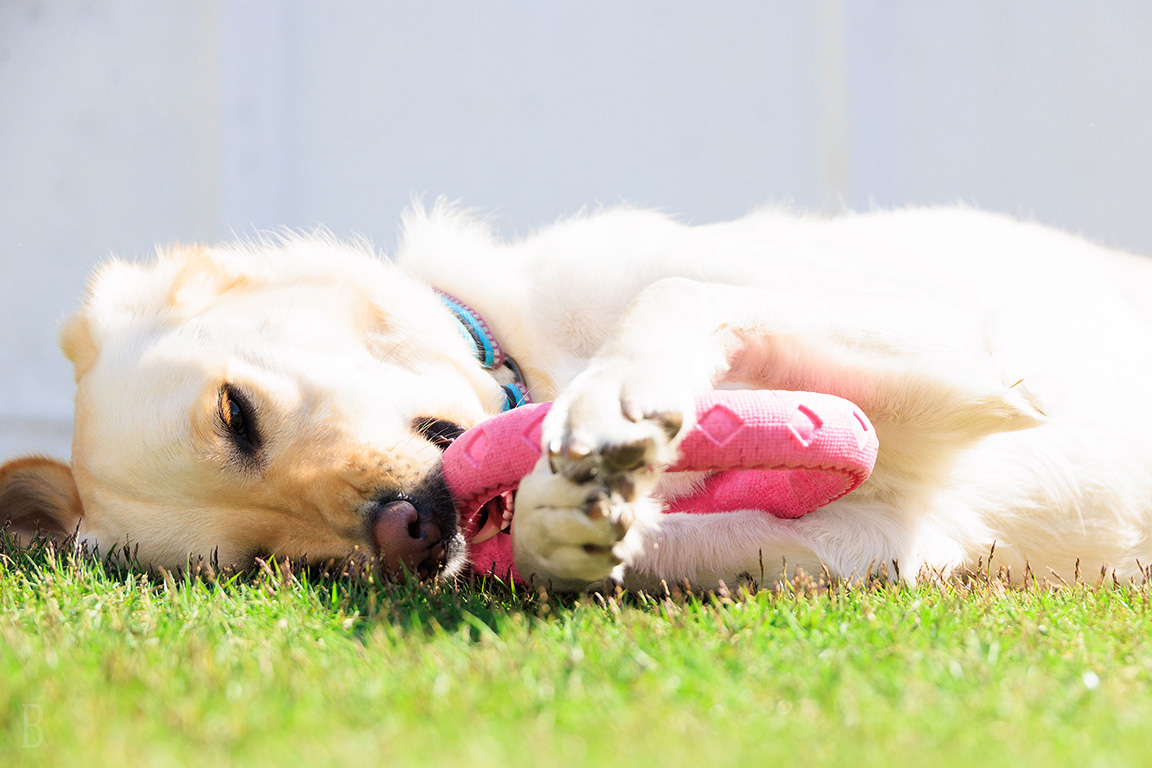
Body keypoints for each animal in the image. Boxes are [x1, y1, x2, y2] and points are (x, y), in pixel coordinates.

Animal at [2, 202, 1152, 589]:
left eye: (235, 414)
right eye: (271, 565)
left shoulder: (973, 355)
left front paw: (625, 398)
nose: (402, 530)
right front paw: (565, 521)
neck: (543, 361)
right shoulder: (877, 537)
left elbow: (672, 290)